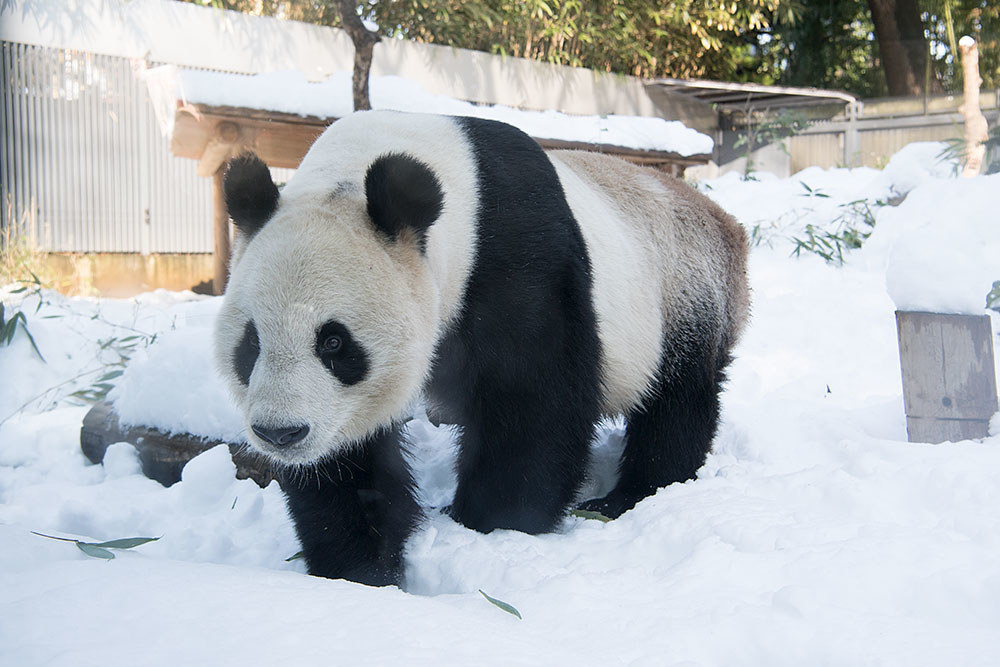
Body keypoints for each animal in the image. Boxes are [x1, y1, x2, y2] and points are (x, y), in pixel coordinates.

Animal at [217, 112, 752, 588]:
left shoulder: (515, 257)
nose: (280, 433)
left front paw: (489, 524)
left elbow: (532, 403)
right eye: (252, 343)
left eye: (333, 342)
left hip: (679, 293)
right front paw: (362, 567)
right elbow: (351, 460)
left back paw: (626, 497)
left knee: (677, 405)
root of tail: (724, 222)